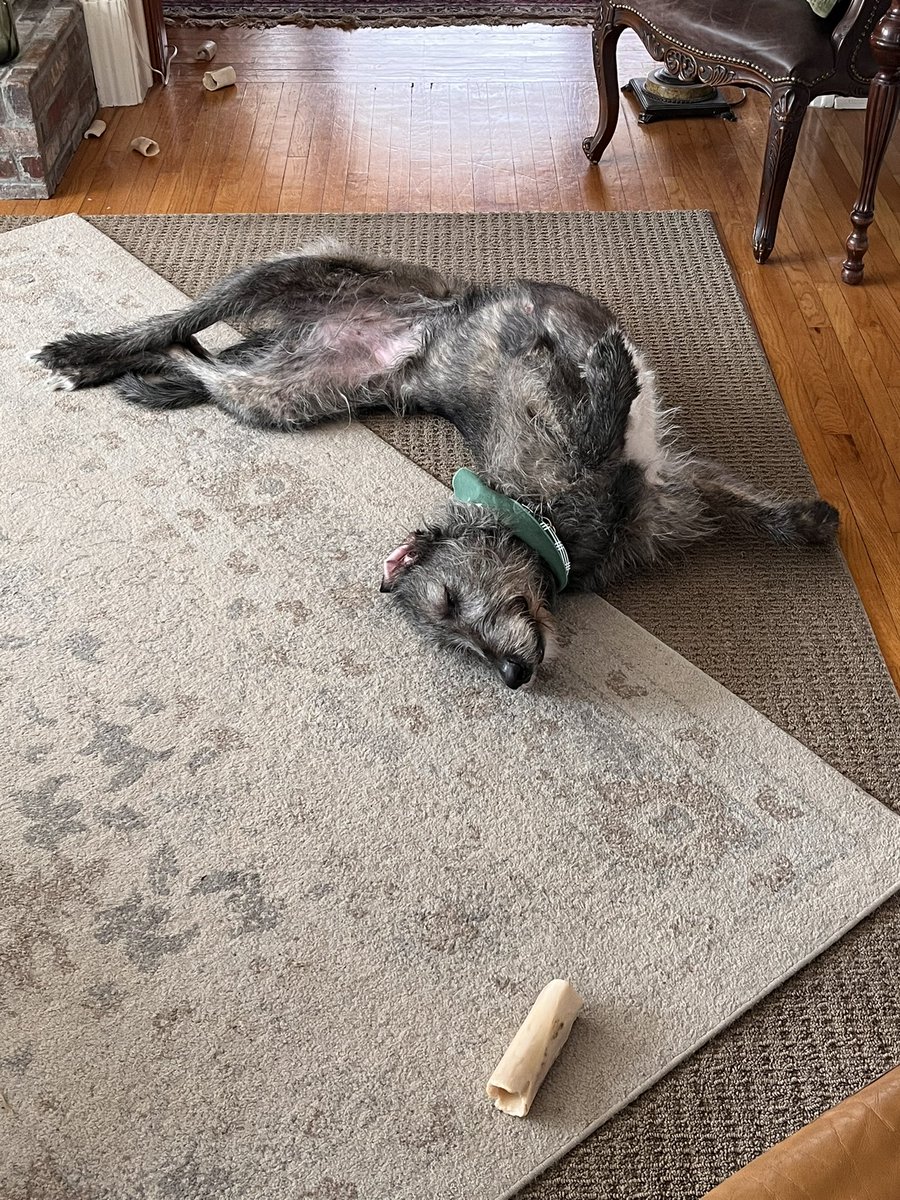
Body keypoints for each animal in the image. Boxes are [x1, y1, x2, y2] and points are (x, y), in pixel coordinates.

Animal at [33, 243, 840, 691]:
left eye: (450, 603)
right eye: (451, 633)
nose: (513, 677)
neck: (539, 517)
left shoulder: (654, 485)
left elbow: (720, 491)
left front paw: (810, 519)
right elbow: (603, 427)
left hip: (290, 325)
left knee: (190, 338)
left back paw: (97, 359)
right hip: (277, 390)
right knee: (186, 347)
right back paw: (90, 358)